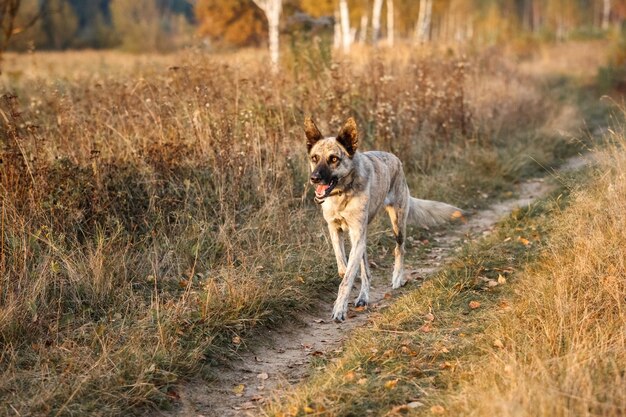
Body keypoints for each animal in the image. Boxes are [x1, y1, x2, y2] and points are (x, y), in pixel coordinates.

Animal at [304, 117, 460, 322]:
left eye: (334, 159)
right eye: (314, 158)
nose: (314, 178)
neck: (342, 193)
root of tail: (395, 159)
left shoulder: (357, 234)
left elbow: (347, 278)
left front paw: (339, 308)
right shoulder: (335, 229)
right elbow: (342, 263)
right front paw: (346, 276)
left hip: (397, 224)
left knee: (399, 249)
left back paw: (397, 278)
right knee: (365, 268)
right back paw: (363, 296)